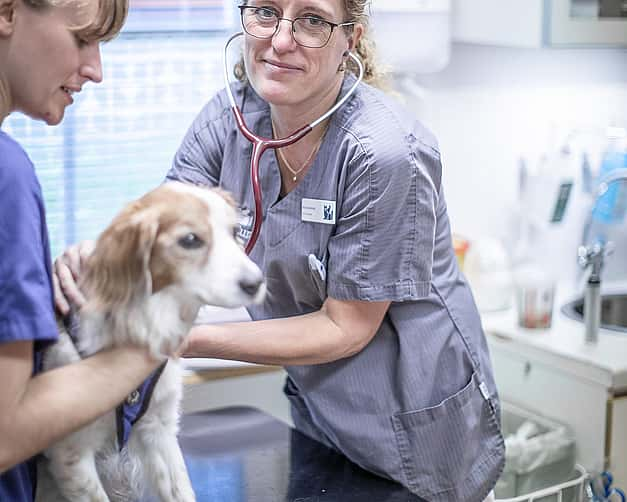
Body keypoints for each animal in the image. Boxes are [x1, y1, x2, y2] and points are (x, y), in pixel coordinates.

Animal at [37, 183, 264, 502]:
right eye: (190, 239)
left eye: (234, 232)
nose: (257, 283)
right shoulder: (72, 455)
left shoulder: (159, 430)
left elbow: (181, 489)